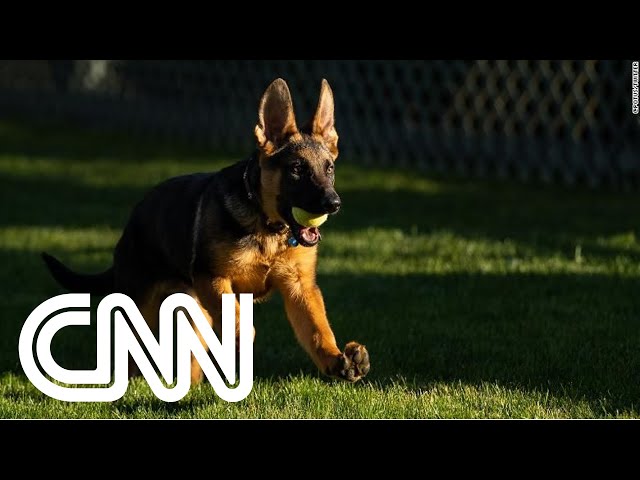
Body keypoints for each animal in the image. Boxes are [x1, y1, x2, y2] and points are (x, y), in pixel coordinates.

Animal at [42, 80, 370, 384]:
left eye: (329, 169)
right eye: (297, 170)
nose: (333, 204)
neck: (267, 228)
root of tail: (132, 223)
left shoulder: (300, 288)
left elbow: (317, 329)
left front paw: (337, 360)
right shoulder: (212, 278)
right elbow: (236, 317)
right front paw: (240, 339)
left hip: (193, 314)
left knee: (191, 358)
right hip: (143, 309)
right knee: (134, 353)